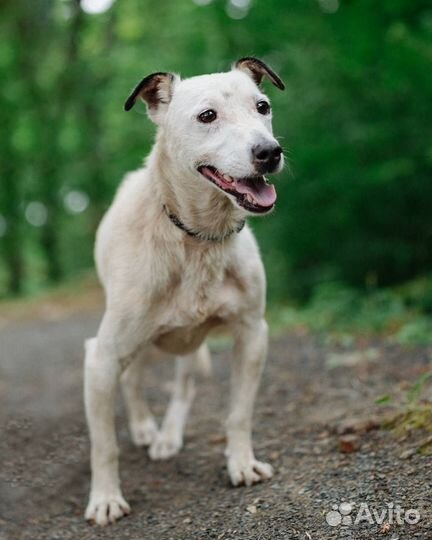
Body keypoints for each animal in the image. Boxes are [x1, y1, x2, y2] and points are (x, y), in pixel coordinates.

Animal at [84, 57, 286, 524]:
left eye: (262, 106)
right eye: (207, 116)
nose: (269, 152)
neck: (197, 240)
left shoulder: (253, 333)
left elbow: (238, 413)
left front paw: (241, 463)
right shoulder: (100, 358)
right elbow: (104, 445)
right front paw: (105, 498)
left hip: (190, 346)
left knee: (183, 385)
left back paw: (168, 436)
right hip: (132, 343)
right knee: (133, 380)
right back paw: (145, 428)